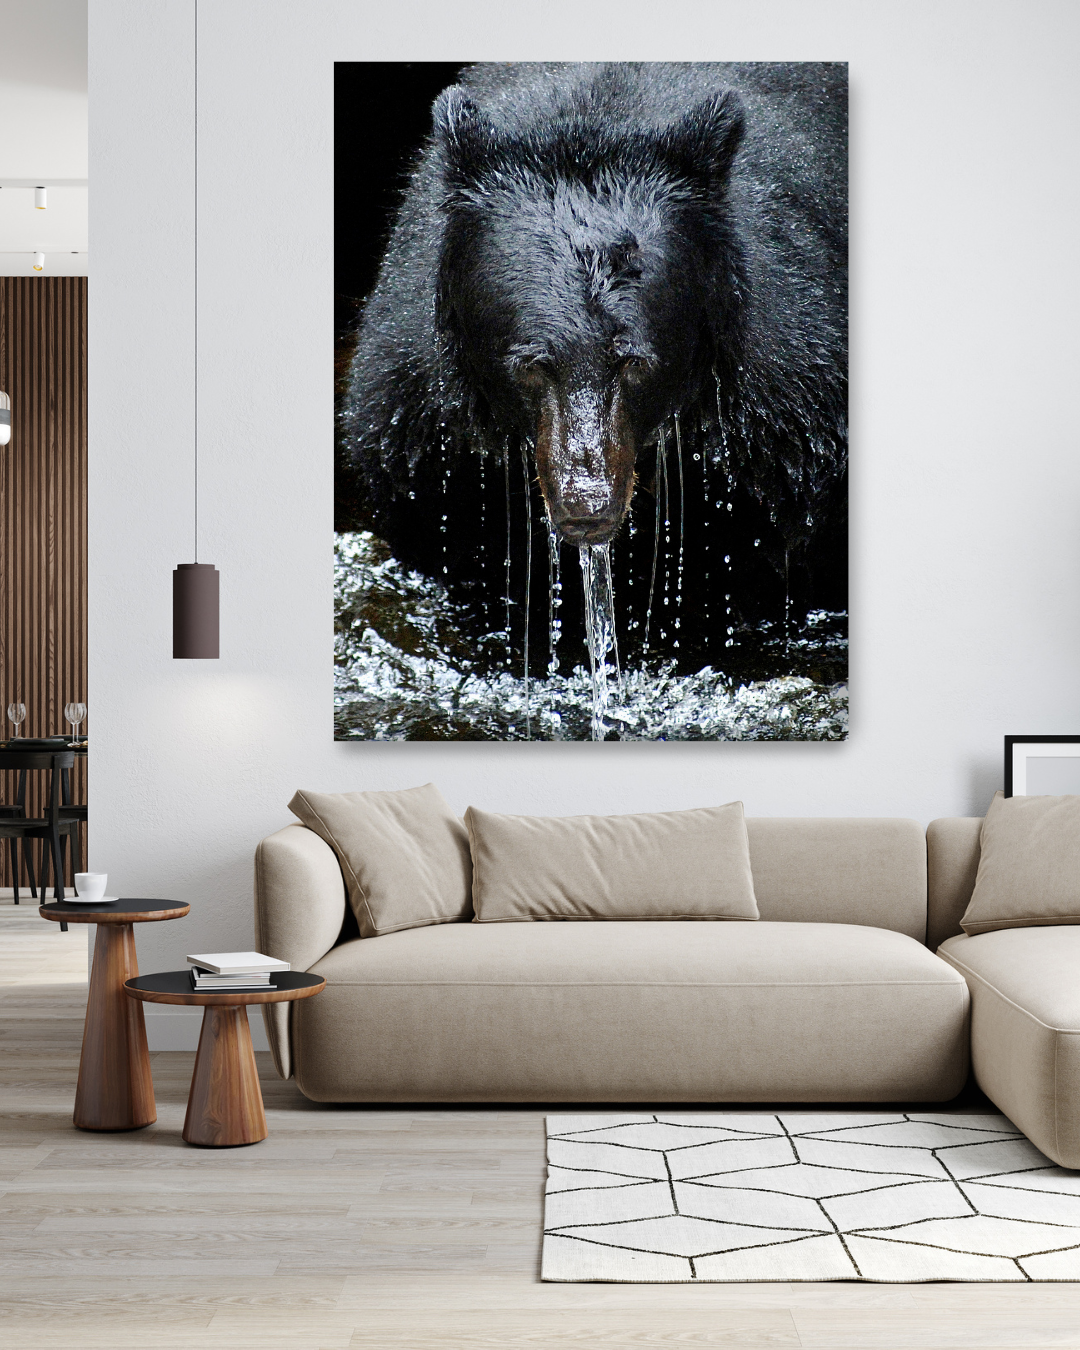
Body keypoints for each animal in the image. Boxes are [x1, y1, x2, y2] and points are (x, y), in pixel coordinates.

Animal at [337, 62, 847, 692]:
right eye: (532, 365)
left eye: (634, 360)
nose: (587, 507)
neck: (596, 118)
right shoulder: (423, 430)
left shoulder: (781, 419)